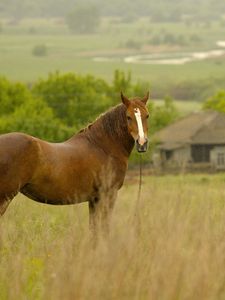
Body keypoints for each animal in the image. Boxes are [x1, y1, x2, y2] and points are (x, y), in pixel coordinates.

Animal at [0, 92, 149, 236]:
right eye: (128, 117)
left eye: (147, 116)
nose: (142, 143)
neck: (102, 146)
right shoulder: (108, 195)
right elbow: (104, 229)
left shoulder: (94, 199)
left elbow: (94, 230)